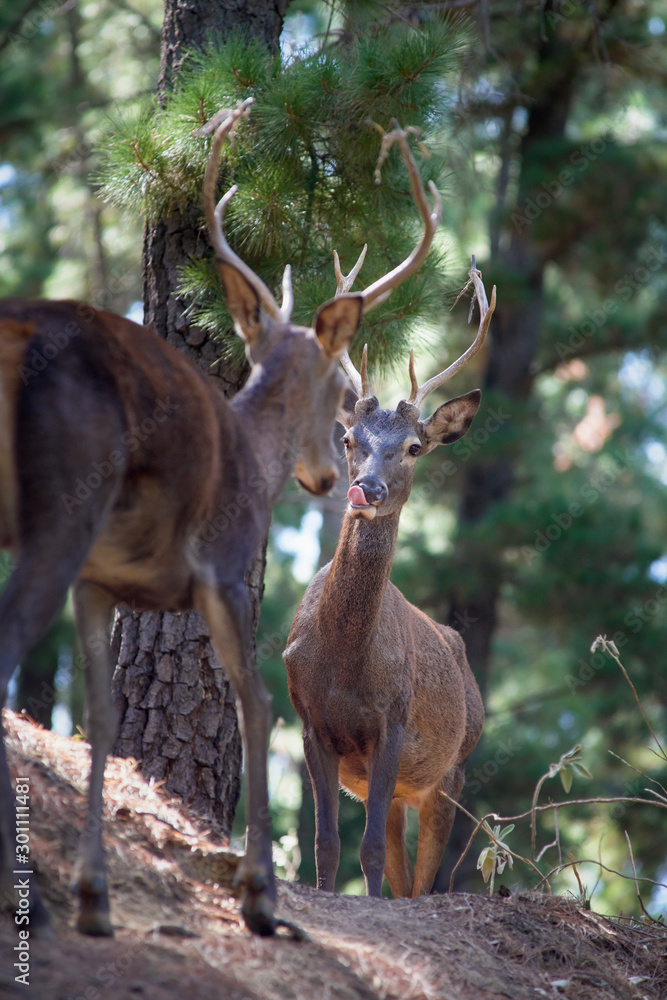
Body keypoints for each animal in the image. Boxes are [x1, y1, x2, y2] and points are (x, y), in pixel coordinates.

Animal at [0, 98, 370, 940]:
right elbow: (258, 709)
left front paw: (97, 895)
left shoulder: (101, 581)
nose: (328, 476)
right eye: (342, 391)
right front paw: (260, 897)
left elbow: (104, 719)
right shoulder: (223, 568)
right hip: (62, 507)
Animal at [283, 124, 496, 900]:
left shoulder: (393, 724)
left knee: (428, 875)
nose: (365, 488)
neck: (345, 665)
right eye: (348, 438)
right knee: (405, 861)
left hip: (452, 767)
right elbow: (325, 843)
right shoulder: (307, 721)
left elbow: (369, 847)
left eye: (412, 447)